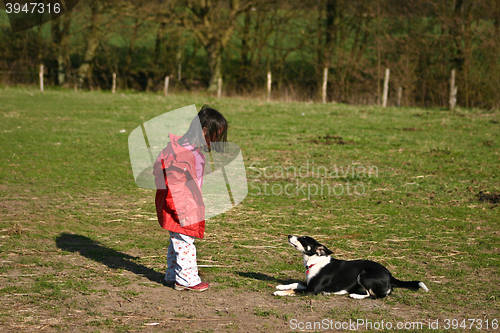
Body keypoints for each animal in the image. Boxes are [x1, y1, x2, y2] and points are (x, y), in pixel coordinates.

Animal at [274, 235, 430, 296]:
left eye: (302, 239)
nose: (289, 235)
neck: (315, 261)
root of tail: (390, 275)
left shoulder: (312, 290)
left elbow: (295, 290)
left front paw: (280, 292)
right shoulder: (308, 284)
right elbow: (295, 284)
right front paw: (281, 286)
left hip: (364, 275)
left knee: (373, 295)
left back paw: (354, 296)